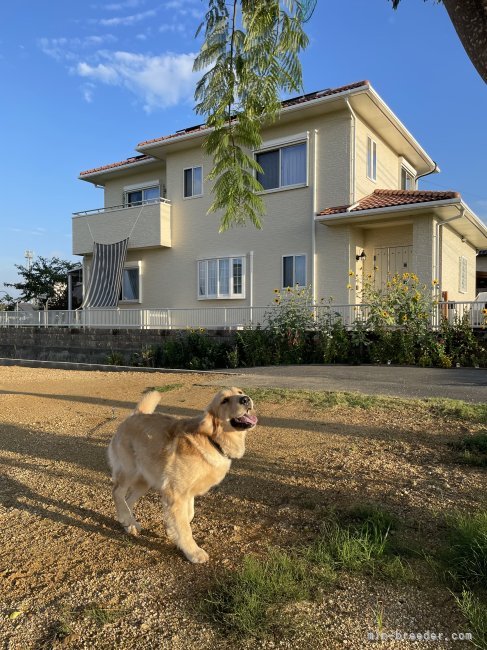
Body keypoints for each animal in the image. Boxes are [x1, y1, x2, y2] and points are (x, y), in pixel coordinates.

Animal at [108, 384, 258, 560]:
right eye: (224, 400)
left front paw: (171, 530)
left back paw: (129, 524)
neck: (212, 440)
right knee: (117, 492)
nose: (246, 399)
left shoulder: (187, 493)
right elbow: (184, 526)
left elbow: (188, 514)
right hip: (129, 472)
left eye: (240, 392)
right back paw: (126, 519)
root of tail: (135, 415)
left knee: (128, 500)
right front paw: (193, 551)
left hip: (144, 481)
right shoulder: (175, 492)